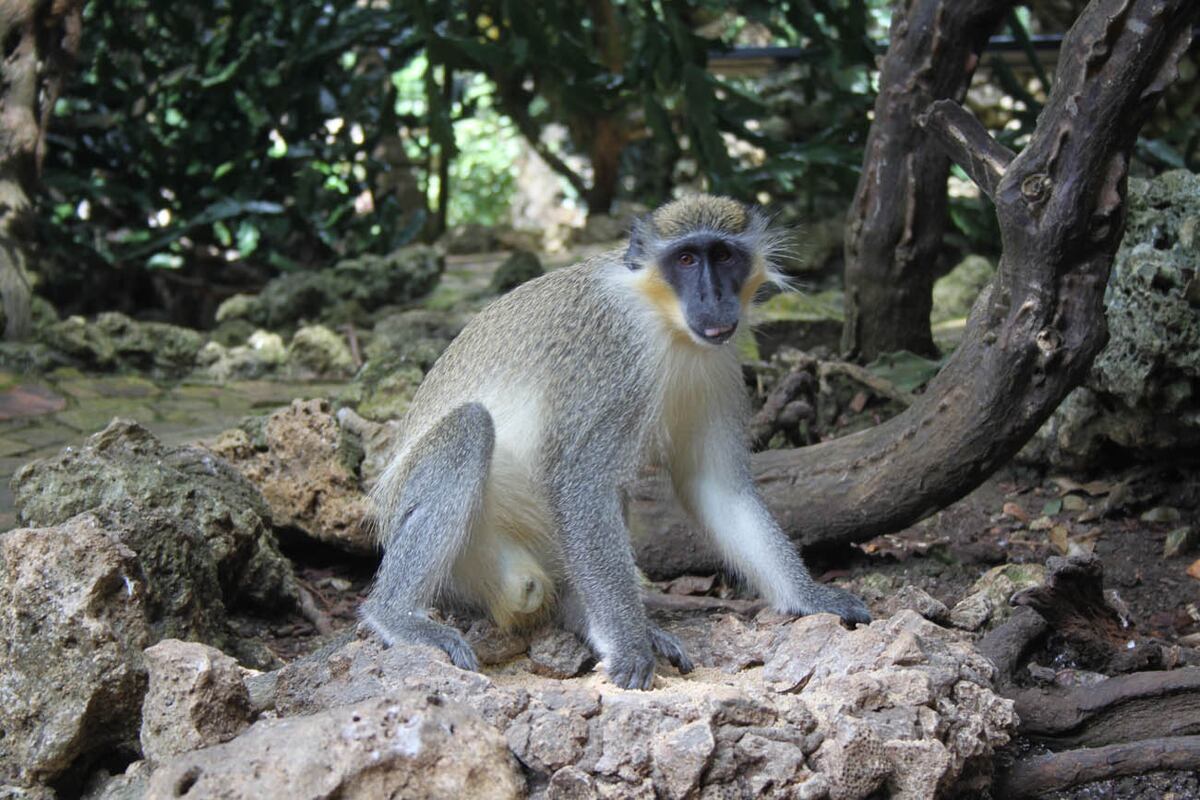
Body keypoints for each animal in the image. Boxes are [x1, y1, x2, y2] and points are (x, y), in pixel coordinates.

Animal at [361, 195, 871, 690]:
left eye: (724, 255)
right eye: (686, 259)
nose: (713, 296)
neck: (663, 321)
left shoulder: (719, 364)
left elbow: (715, 487)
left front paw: (809, 596)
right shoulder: (613, 356)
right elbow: (581, 482)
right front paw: (627, 646)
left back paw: (580, 614)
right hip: (466, 553)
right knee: (470, 429)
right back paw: (395, 616)